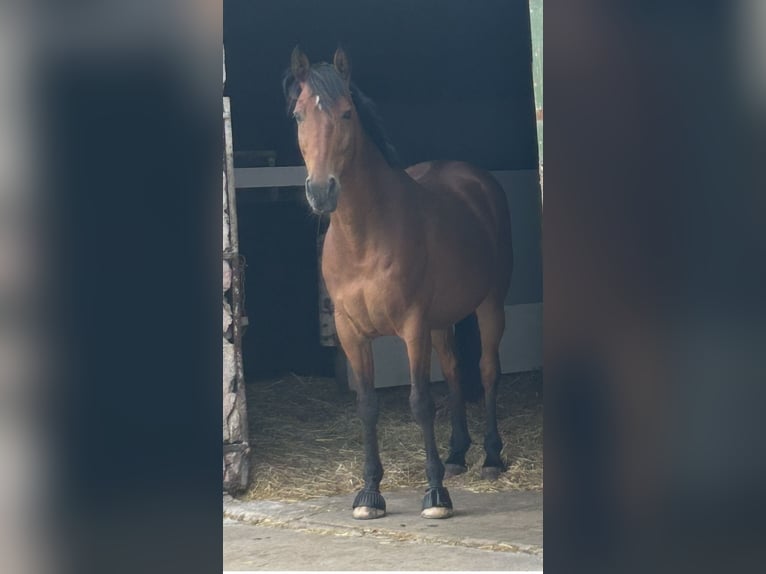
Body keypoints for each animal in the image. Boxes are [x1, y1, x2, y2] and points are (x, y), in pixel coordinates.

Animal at [283, 46, 513, 520]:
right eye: (298, 115)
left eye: (347, 113)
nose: (321, 192)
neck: (363, 237)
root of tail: (477, 181)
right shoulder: (351, 332)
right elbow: (367, 404)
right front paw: (370, 493)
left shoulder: (412, 326)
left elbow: (420, 403)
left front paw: (435, 494)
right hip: (442, 321)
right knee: (455, 371)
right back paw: (457, 454)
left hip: (490, 305)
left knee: (487, 370)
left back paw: (490, 457)